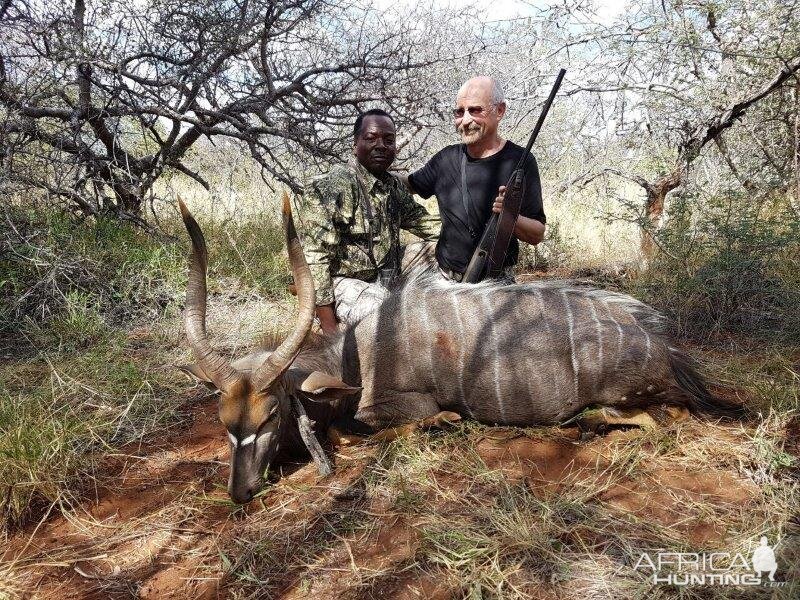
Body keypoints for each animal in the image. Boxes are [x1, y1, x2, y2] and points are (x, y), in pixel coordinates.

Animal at [178, 193, 740, 502]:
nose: (239, 492)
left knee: (659, 419)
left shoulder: (397, 405)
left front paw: (447, 420)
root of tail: (667, 350)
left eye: (271, 415)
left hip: (630, 399)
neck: (355, 356)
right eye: (224, 422)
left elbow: (369, 428)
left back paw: (582, 424)